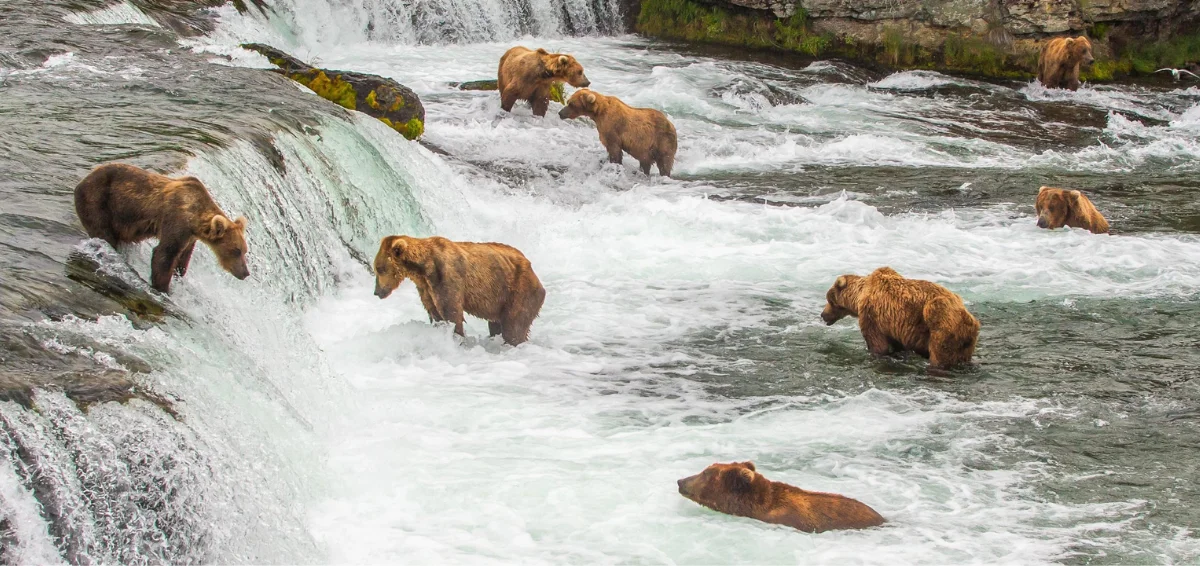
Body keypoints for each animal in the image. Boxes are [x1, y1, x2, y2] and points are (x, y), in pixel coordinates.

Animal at [73, 163, 250, 293]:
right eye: (236, 251)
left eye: (244, 251)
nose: (245, 273)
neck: (195, 219)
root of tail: (82, 180)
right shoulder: (176, 221)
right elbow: (164, 254)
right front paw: (163, 288)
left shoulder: (190, 237)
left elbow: (183, 258)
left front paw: (179, 275)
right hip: (98, 202)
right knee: (104, 233)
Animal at [369, 233, 549, 345]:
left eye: (379, 268)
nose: (377, 292)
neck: (423, 268)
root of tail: (531, 268)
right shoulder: (426, 288)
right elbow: (435, 313)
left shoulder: (446, 277)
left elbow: (452, 313)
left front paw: (457, 338)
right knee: (496, 325)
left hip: (519, 290)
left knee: (514, 326)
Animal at [820, 266, 979, 369]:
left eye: (829, 300)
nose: (823, 315)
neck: (859, 295)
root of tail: (970, 320)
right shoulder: (895, 327)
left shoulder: (872, 316)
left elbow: (877, 344)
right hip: (965, 342)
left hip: (940, 323)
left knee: (940, 354)